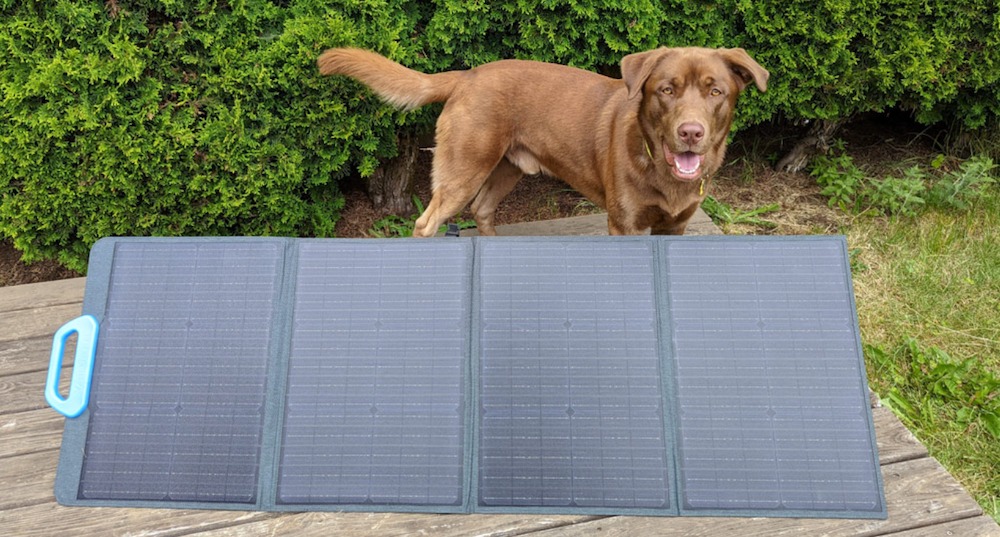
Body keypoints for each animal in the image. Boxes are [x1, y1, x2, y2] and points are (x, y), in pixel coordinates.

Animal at [316, 47, 768, 236]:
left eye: (715, 91)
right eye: (666, 90)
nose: (691, 133)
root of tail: (467, 75)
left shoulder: (676, 226)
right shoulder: (624, 225)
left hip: (505, 168)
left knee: (482, 212)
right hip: (464, 170)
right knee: (426, 224)